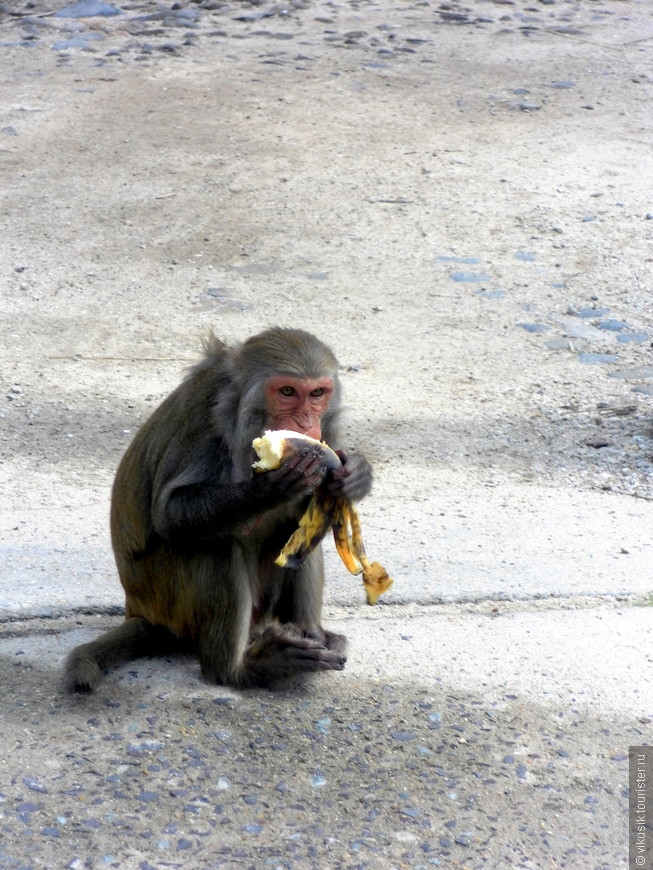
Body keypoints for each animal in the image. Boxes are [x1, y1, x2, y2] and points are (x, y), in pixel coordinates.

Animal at [67, 328, 372, 696]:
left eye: (316, 394)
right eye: (287, 392)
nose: (305, 422)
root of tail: (138, 609)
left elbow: (312, 507)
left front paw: (356, 476)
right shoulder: (207, 416)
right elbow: (170, 514)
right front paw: (270, 487)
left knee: (296, 537)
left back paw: (312, 635)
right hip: (168, 600)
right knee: (215, 543)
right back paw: (238, 669)